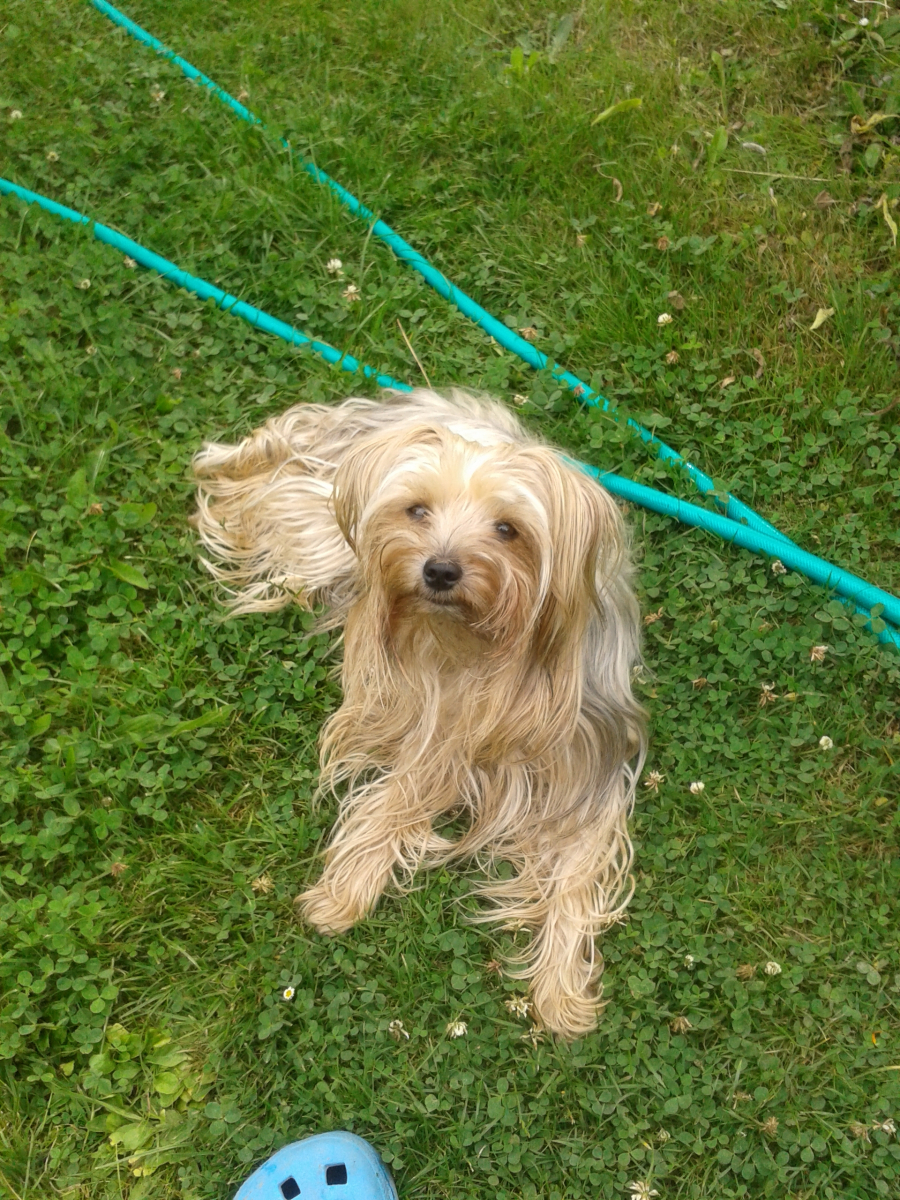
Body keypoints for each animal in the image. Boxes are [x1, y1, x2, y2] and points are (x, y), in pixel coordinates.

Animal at [192, 389, 647, 1037]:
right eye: (417, 511)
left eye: (508, 529)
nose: (439, 569)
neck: (481, 648)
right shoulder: (433, 722)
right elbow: (398, 794)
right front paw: (345, 891)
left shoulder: (588, 763)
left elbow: (576, 876)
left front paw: (560, 987)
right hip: (323, 529)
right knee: (272, 491)